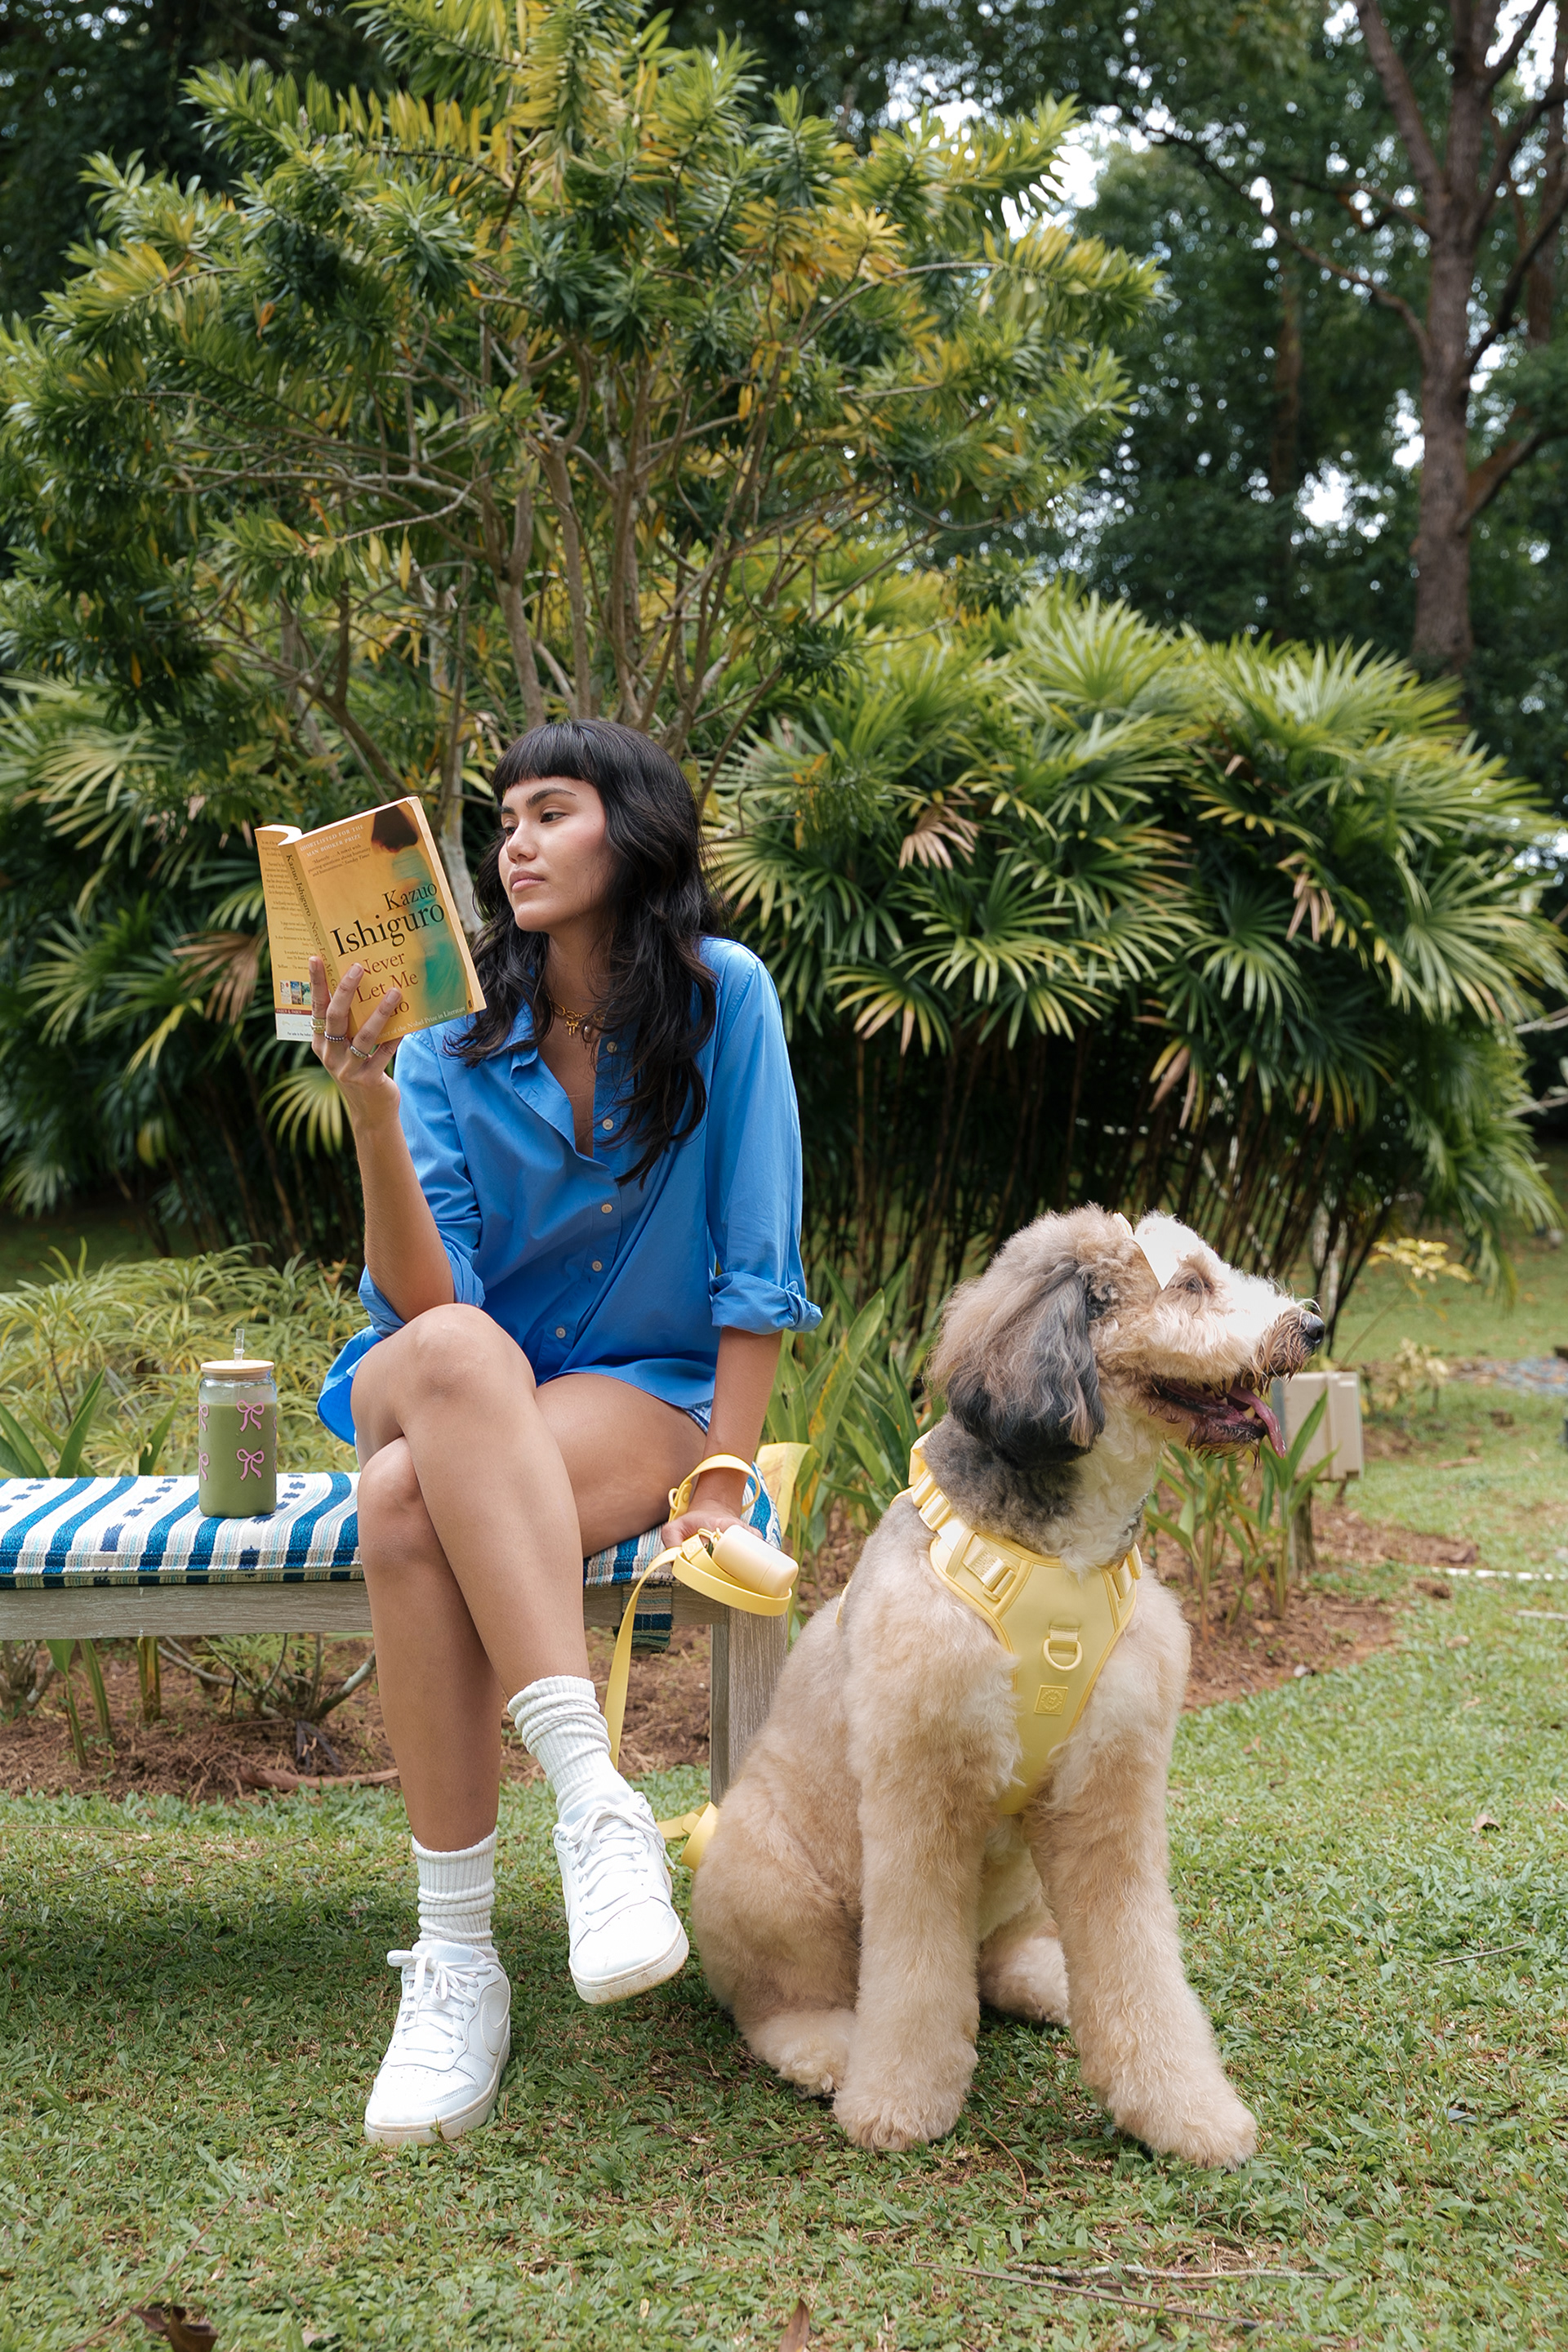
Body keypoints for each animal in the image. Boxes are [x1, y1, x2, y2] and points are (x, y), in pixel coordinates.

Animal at [690, 1207, 1324, 2164]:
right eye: (1190, 1285)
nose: (1312, 1325)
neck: (1061, 1561)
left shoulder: (1110, 1798)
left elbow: (1140, 1964)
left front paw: (1185, 2110)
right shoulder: (922, 1798)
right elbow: (914, 1977)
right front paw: (899, 2102)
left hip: (1026, 1871)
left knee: (999, 1962)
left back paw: (1048, 1981)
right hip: (769, 1882)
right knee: (779, 1998)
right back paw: (828, 2049)